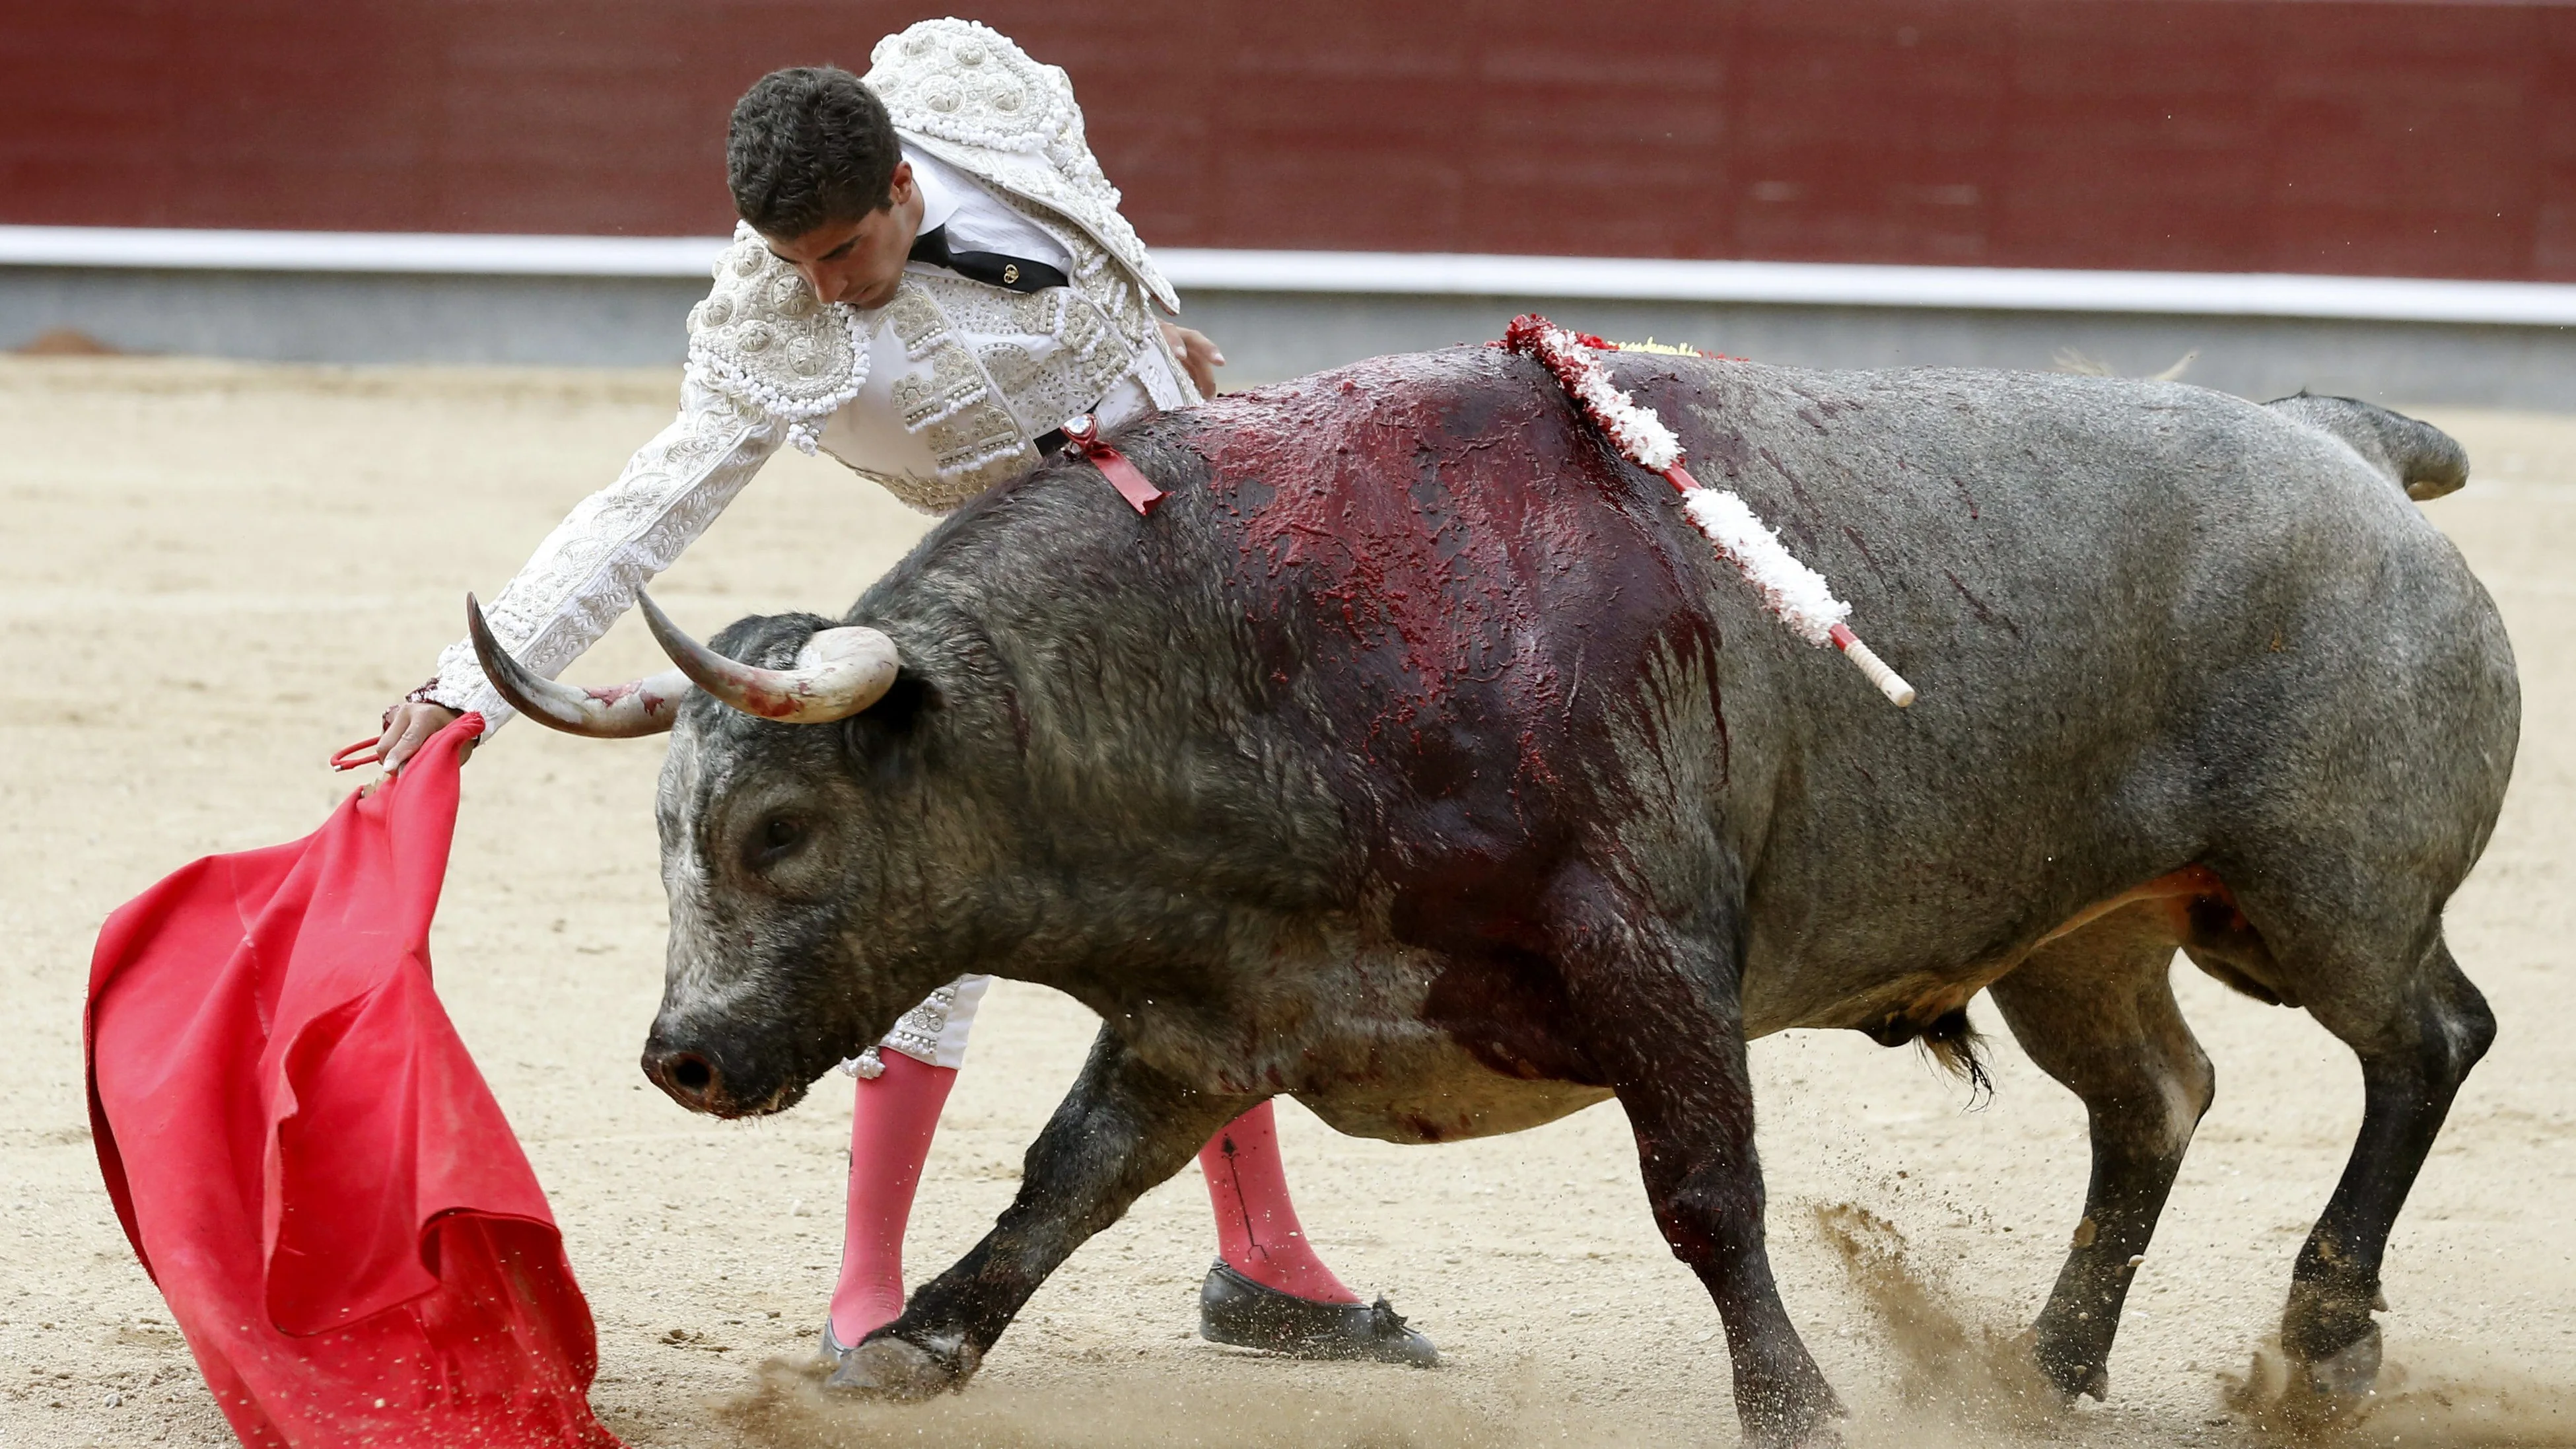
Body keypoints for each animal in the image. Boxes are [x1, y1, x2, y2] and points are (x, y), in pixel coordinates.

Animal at [468, 343, 2514, 1433]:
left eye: (777, 834)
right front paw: (911, 1345)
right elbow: (1064, 1180)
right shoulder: (1218, 1009)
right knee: (2153, 1098)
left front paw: (1792, 1399)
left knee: (2427, 1037)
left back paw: (2322, 1340)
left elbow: (1706, 1191)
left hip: (2315, 895)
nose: (681, 1059)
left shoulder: (1651, 953)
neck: (1257, 652)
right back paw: (2044, 1365)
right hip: (2077, 936)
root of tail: (2340, 441)